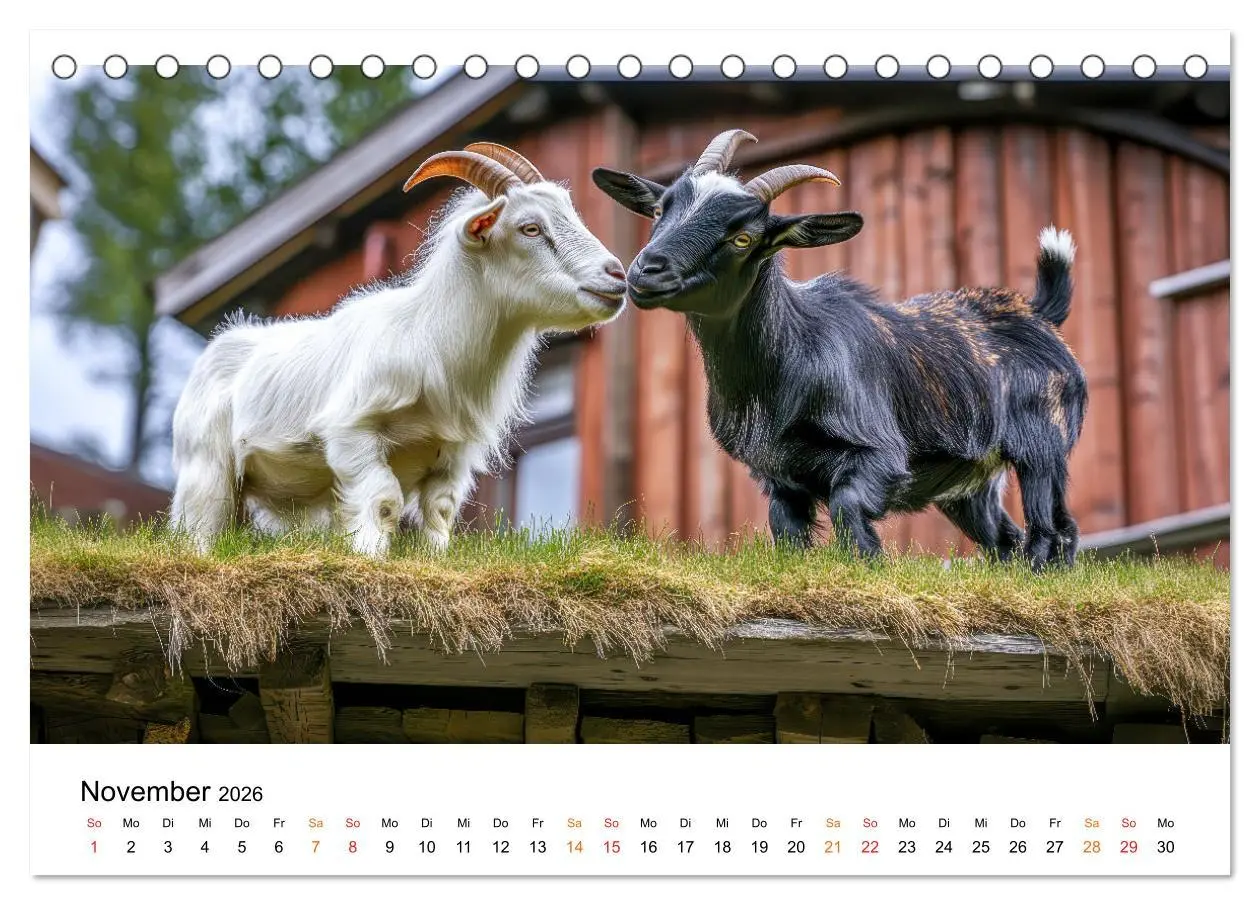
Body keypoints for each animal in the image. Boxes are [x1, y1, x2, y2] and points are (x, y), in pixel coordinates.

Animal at [170, 143, 627, 557]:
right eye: (530, 228)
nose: (617, 275)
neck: (429, 337)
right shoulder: (351, 431)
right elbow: (382, 498)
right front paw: (370, 555)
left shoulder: (453, 455)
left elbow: (440, 510)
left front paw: (432, 558)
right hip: (206, 472)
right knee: (202, 525)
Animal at [593, 129, 1086, 570]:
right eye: (661, 208)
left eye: (743, 238)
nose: (647, 270)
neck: (791, 357)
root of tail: (1039, 313)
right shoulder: (779, 477)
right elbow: (786, 533)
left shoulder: (879, 454)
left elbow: (849, 508)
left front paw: (868, 566)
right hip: (969, 485)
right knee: (1006, 540)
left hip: (1043, 444)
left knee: (1055, 531)